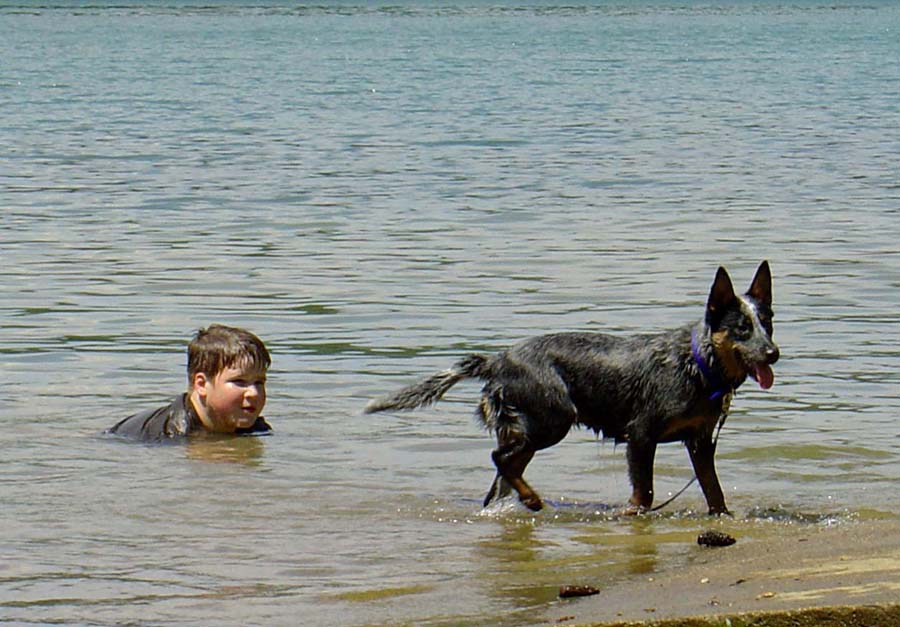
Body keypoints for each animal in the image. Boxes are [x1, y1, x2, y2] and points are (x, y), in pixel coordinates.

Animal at [366, 260, 780, 516]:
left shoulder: (701, 442)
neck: (698, 367)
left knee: (503, 472)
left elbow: (713, 489)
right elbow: (644, 491)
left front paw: (723, 517)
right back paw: (533, 500)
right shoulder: (640, 435)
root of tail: (498, 359)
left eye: (768, 323)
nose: (773, 353)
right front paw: (634, 514)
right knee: (500, 459)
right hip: (553, 420)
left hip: (530, 426)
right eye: (742, 328)